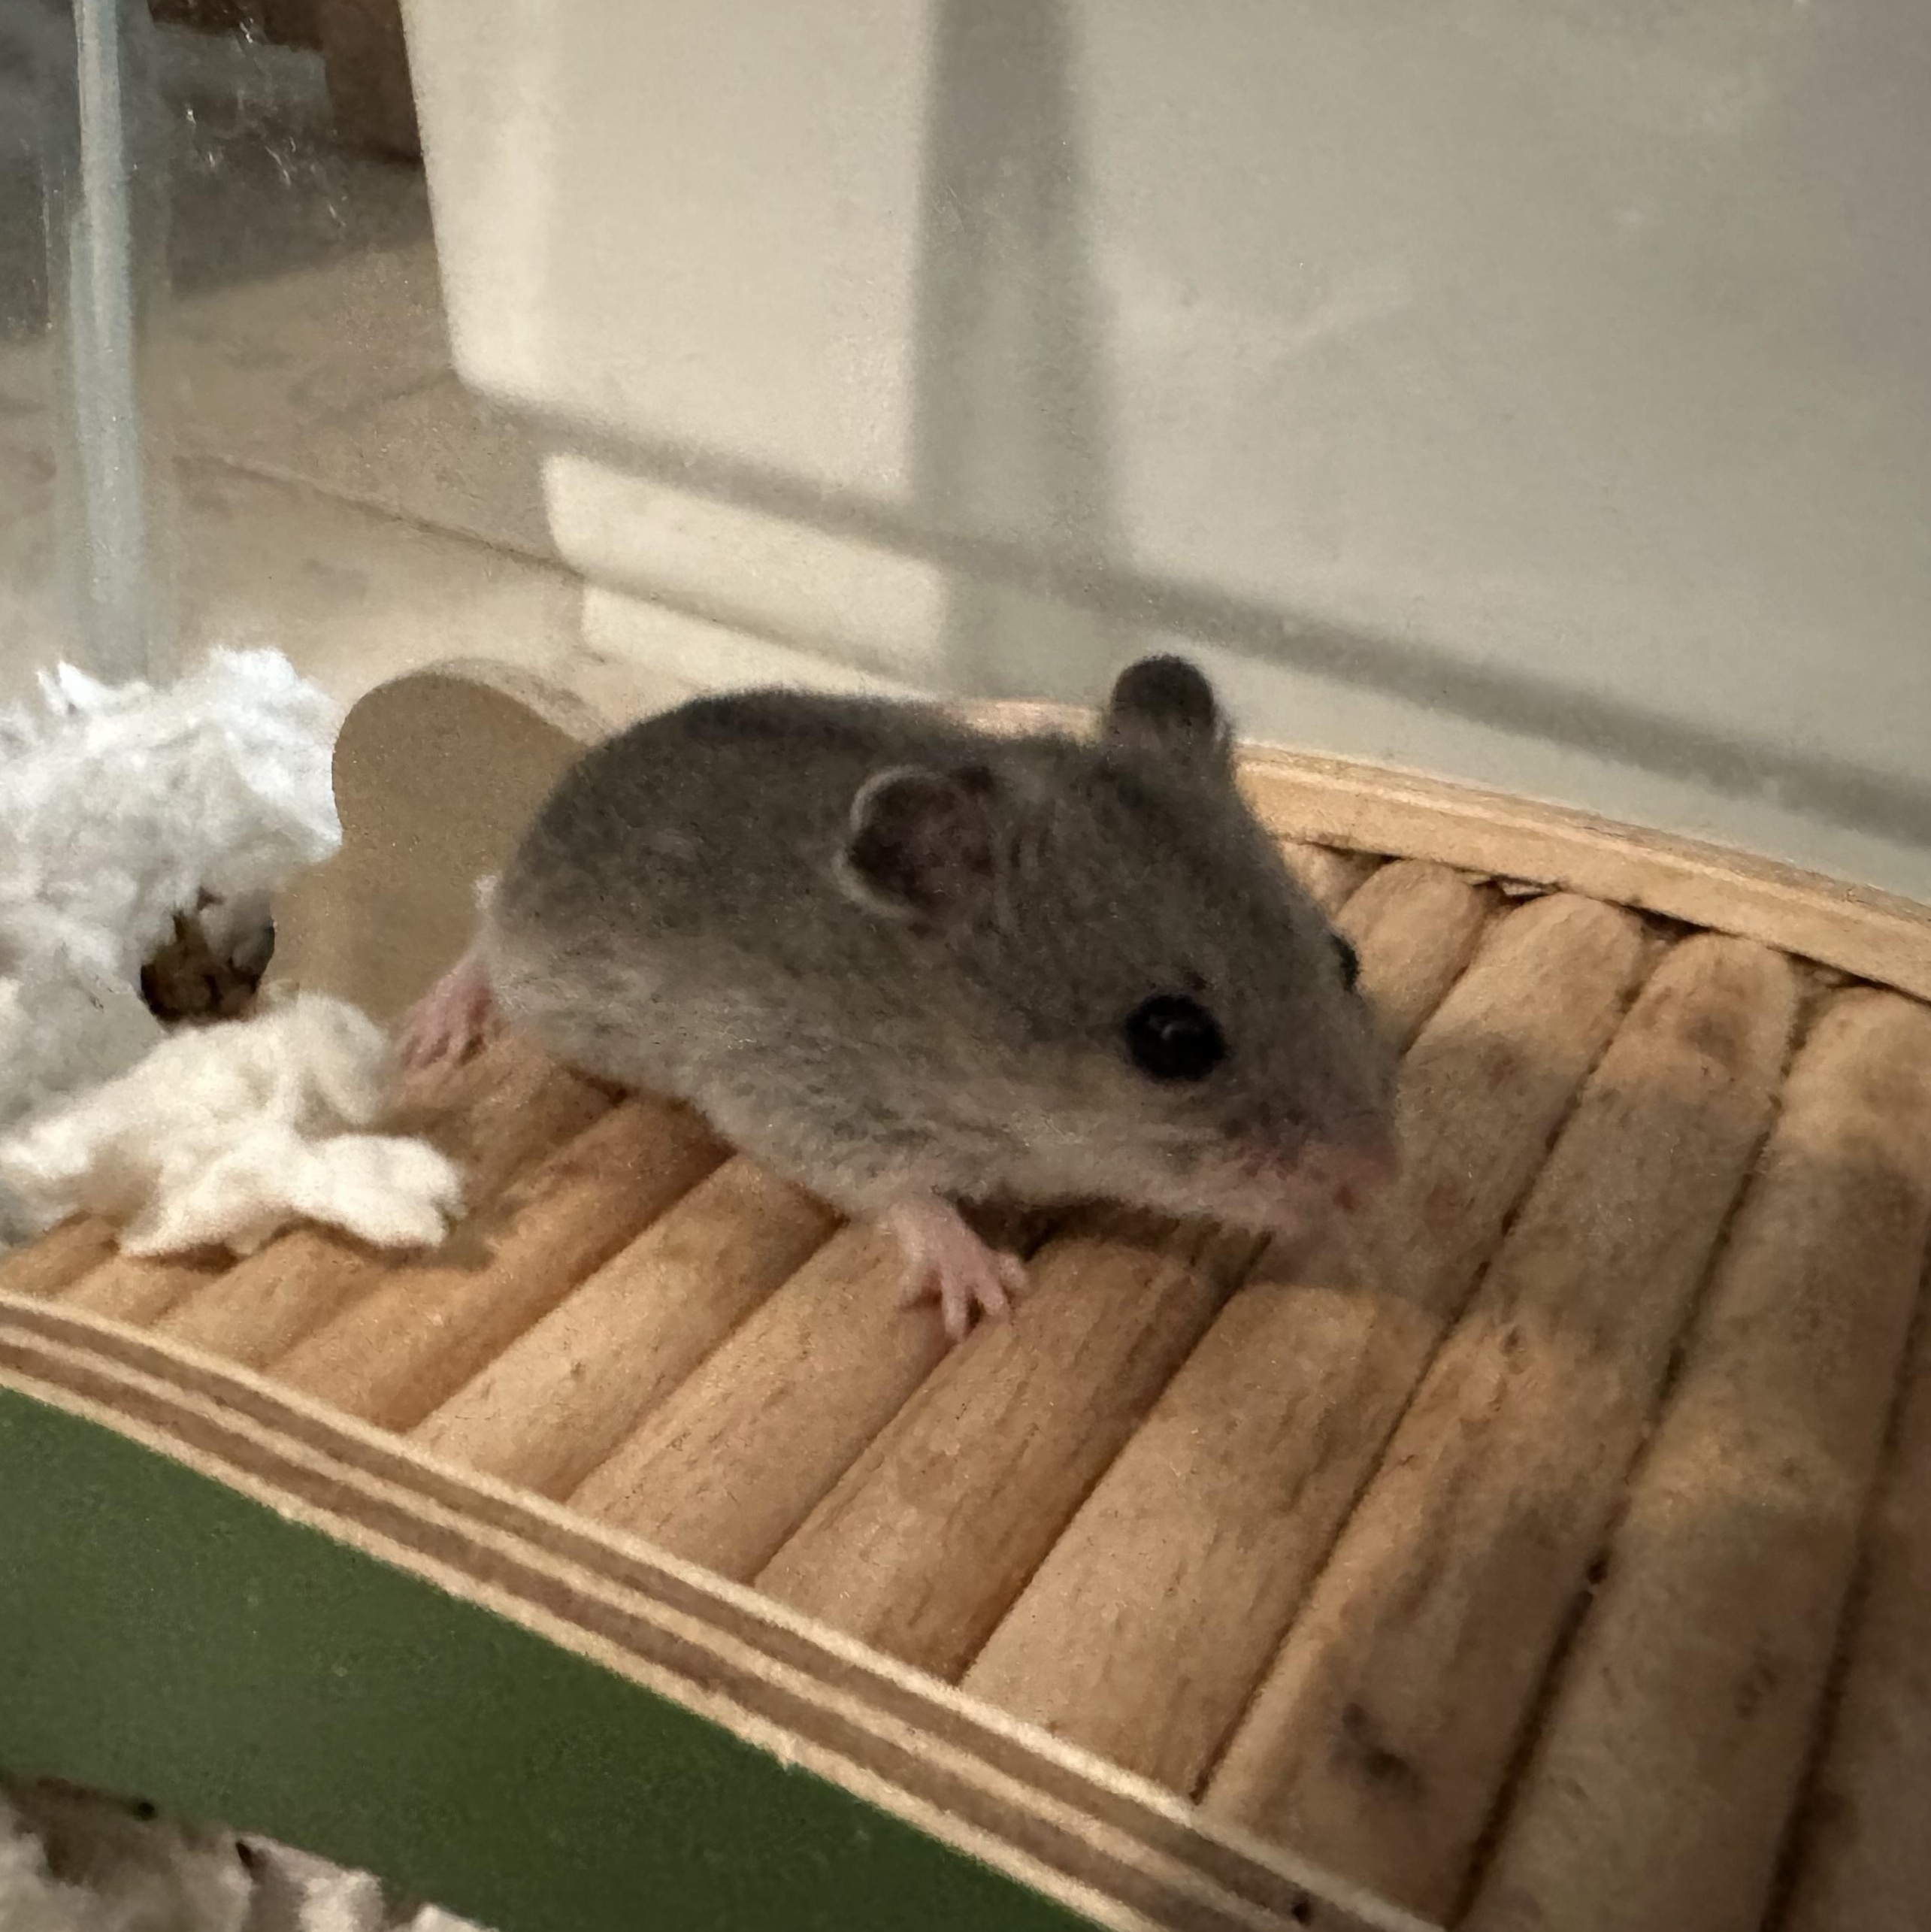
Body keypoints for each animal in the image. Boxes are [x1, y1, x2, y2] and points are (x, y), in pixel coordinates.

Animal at [398, 656, 1397, 1339]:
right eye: (1171, 1037)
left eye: (1345, 956)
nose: (1376, 1180)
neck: (946, 1016)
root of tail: (570, 775)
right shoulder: (795, 1093)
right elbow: (907, 1194)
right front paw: (984, 1286)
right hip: (540, 976)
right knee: (480, 921)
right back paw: (434, 1031)